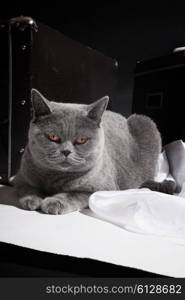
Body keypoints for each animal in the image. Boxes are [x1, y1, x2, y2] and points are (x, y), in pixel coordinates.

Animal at [14, 88, 163, 214]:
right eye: (53, 137)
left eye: (81, 139)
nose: (66, 151)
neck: (55, 178)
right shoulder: (21, 177)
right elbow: (26, 187)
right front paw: (31, 199)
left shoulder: (104, 189)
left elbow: (75, 194)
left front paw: (54, 202)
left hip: (145, 122)